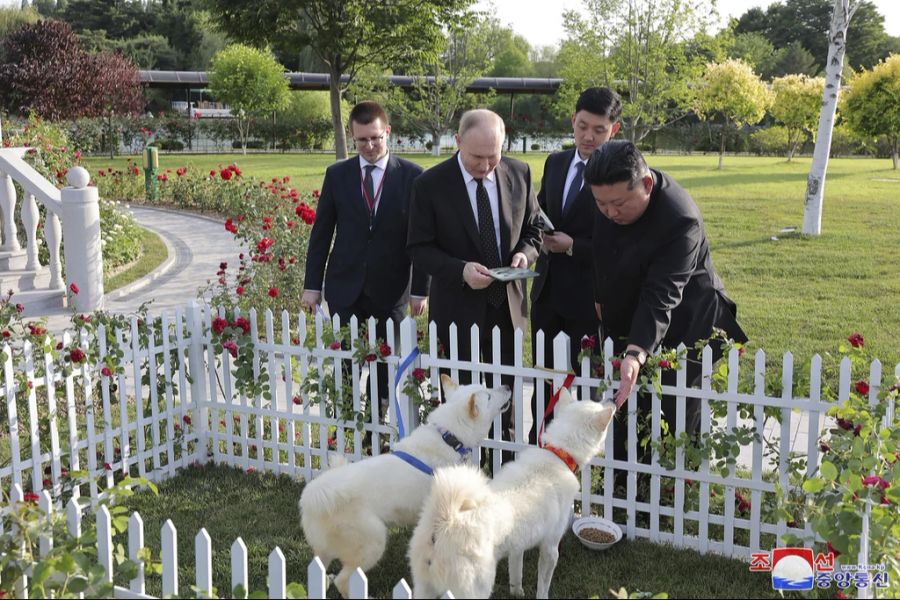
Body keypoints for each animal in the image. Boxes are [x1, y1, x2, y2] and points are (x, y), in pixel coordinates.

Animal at [296, 376, 506, 596]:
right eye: (489, 395)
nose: (507, 386)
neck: (449, 437)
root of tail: (312, 495)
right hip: (374, 541)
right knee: (344, 580)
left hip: (325, 550)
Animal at [412, 392, 616, 596]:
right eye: (598, 403)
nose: (613, 399)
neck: (559, 454)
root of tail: (445, 519)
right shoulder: (550, 548)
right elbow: (543, 587)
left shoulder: (518, 547)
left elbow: (516, 572)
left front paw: (517, 592)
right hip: (476, 589)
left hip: (424, 588)